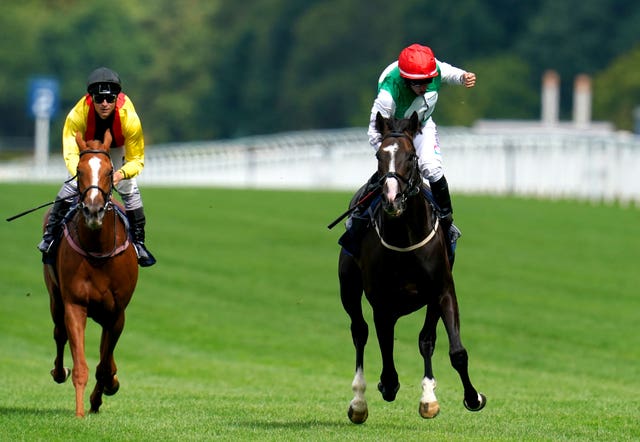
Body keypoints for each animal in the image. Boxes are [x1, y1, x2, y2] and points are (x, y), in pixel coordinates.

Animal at [43, 129, 139, 416]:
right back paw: (59, 371)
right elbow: (81, 365)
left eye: (109, 171)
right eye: (79, 170)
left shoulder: (117, 313)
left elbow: (104, 365)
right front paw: (79, 412)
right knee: (59, 333)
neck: (99, 252)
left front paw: (104, 390)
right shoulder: (75, 305)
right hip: (55, 297)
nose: (93, 210)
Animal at [340, 112, 484, 424]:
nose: (391, 197)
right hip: (349, 287)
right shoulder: (381, 301)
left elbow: (450, 349)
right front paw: (386, 385)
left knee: (421, 339)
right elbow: (385, 348)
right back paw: (359, 401)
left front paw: (470, 397)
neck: (405, 237)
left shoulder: (442, 291)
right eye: (379, 156)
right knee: (360, 331)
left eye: (411, 157)